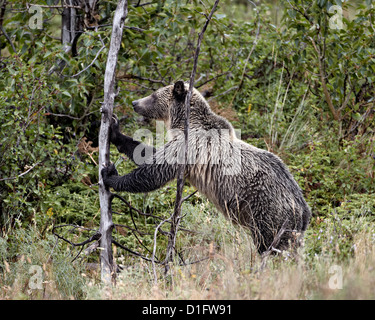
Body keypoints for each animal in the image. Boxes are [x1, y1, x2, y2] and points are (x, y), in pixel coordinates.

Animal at [103, 80, 312, 255]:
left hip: (267, 211)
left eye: (154, 95)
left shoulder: (189, 146)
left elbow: (154, 172)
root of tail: (303, 209)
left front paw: (111, 175)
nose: (134, 102)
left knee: (270, 245)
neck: (184, 123)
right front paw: (115, 131)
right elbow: (147, 153)